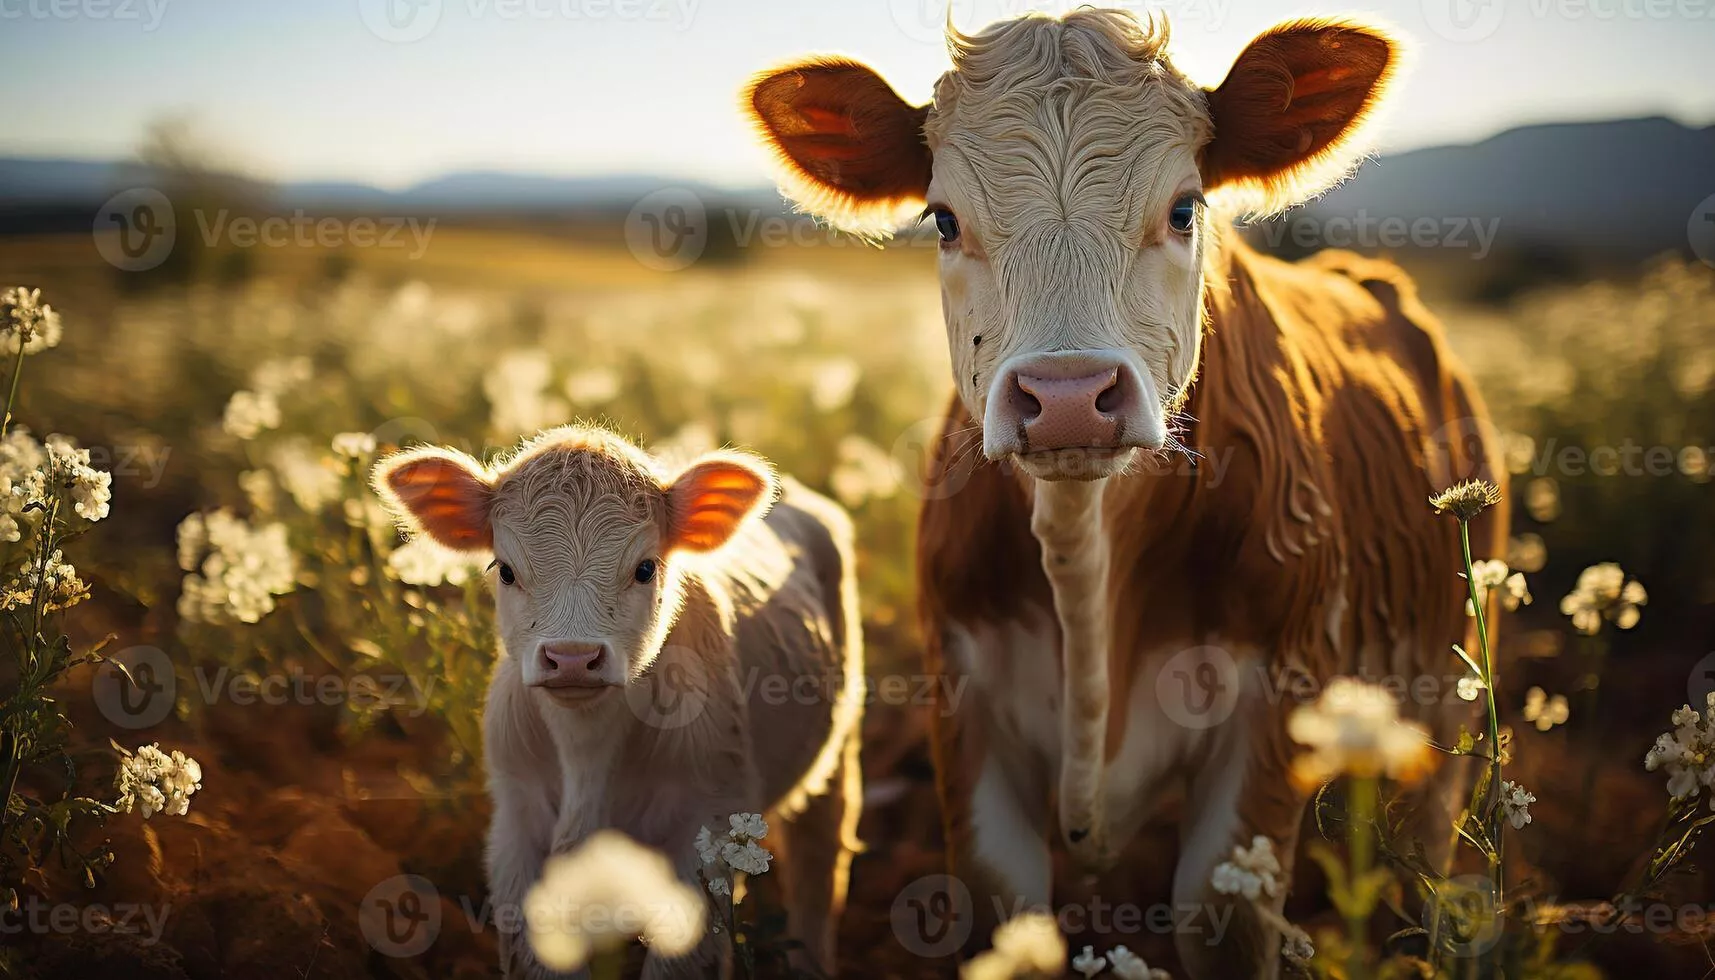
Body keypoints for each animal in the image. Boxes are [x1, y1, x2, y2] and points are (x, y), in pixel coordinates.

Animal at [374, 425, 865, 979]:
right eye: (505, 570)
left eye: (645, 568)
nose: (571, 657)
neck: (587, 751)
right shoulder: (514, 822)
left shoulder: (708, 821)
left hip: (840, 744)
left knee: (818, 863)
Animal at [747, 10, 1506, 978]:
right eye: (943, 218)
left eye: (1183, 208)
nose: (1068, 396)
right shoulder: (964, 707)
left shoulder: (1272, 711)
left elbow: (1221, 920)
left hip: (1453, 698)